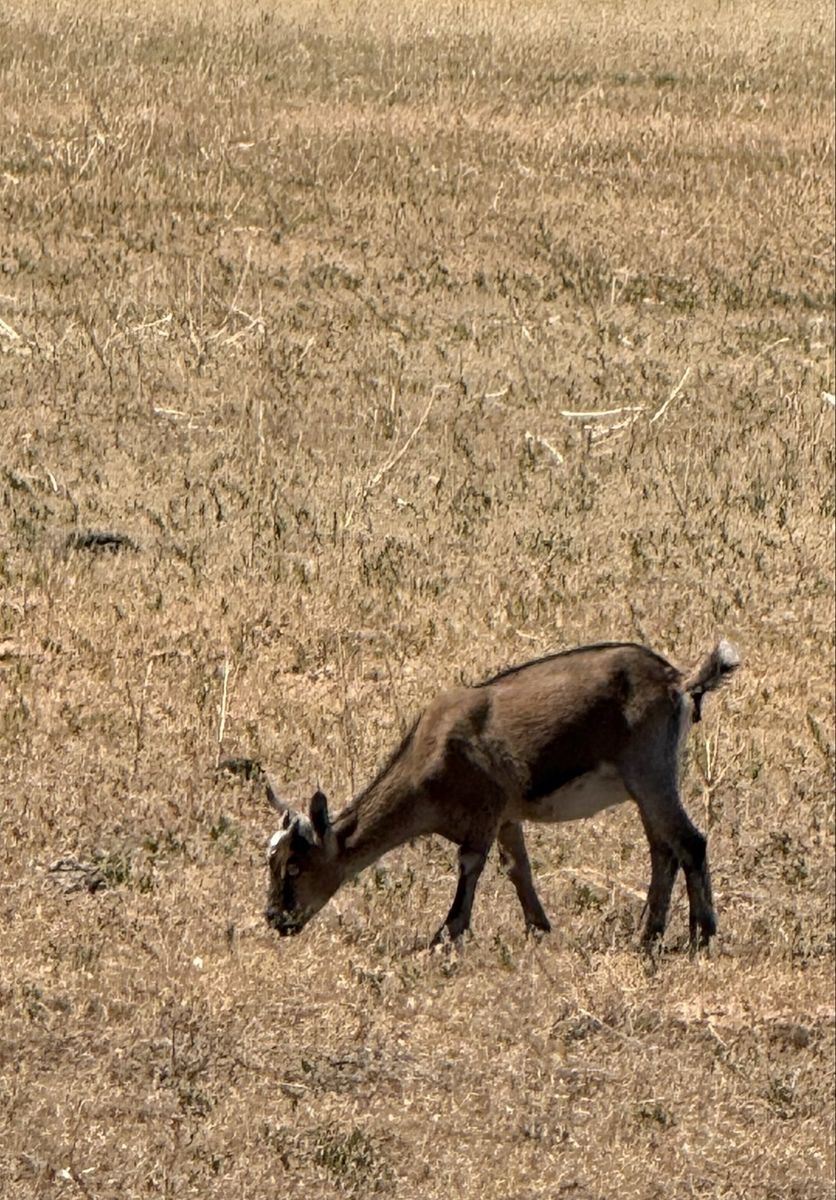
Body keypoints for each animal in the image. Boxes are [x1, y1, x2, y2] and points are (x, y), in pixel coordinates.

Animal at [263, 639, 739, 948]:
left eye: (295, 867)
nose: (275, 918)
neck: (430, 752)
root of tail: (678, 680)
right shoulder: (509, 815)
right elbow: (517, 868)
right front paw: (539, 929)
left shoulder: (485, 811)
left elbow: (470, 865)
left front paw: (446, 935)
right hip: (644, 785)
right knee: (663, 850)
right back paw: (648, 935)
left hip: (650, 771)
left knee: (690, 842)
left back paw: (701, 938)